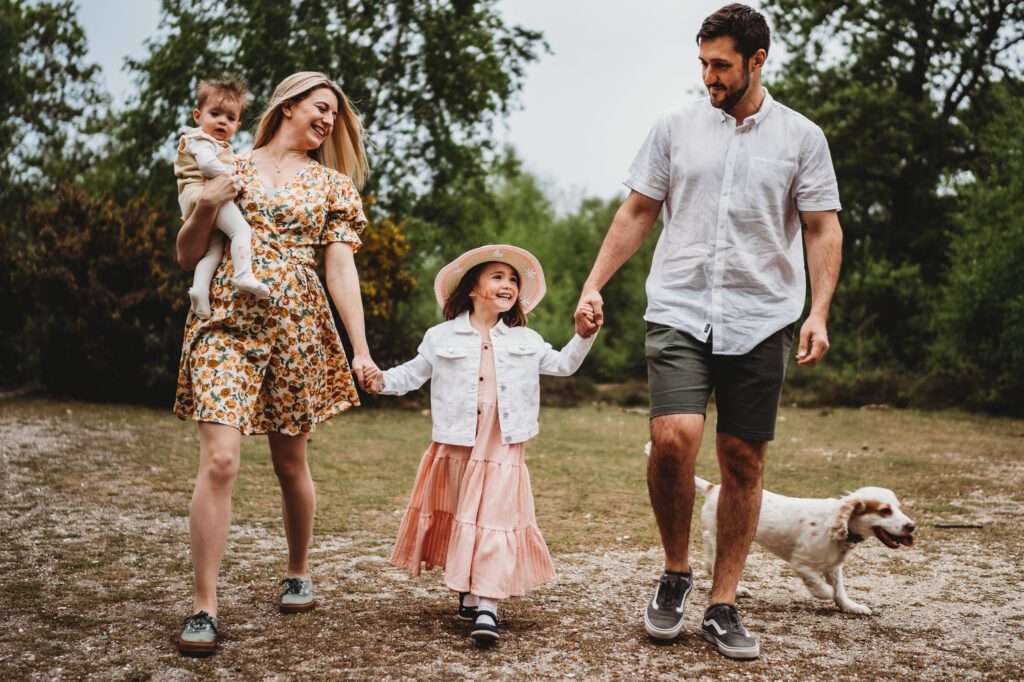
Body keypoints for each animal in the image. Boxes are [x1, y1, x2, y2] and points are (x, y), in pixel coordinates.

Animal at [700, 475, 917, 614]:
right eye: (885, 511)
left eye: (898, 508)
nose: (912, 527)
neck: (838, 527)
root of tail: (713, 488)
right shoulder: (801, 564)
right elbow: (822, 587)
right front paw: (828, 594)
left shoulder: (834, 567)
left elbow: (840, 590)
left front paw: (851, 606)